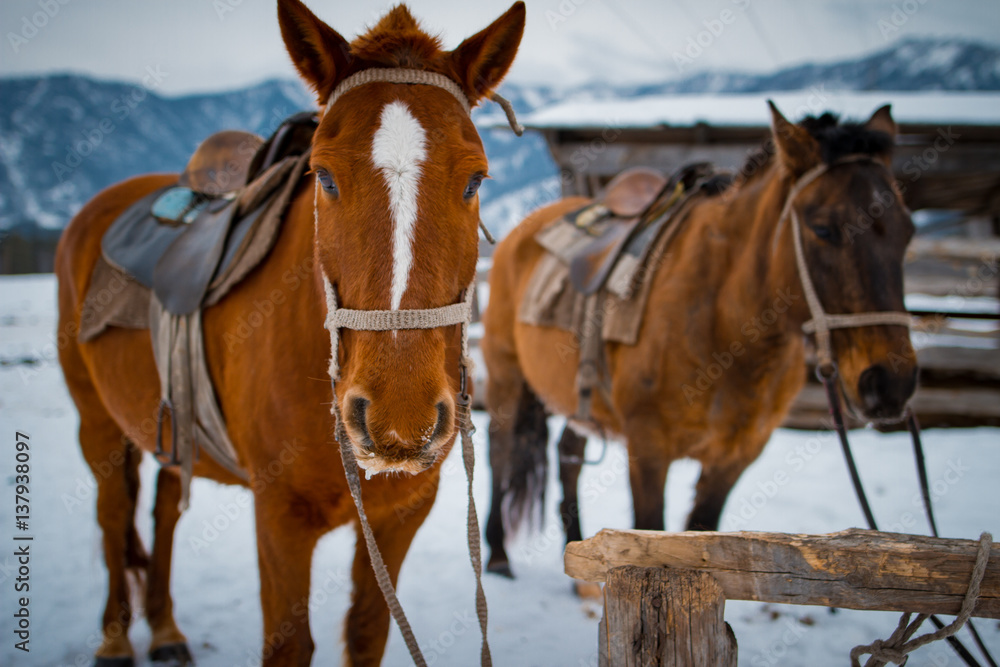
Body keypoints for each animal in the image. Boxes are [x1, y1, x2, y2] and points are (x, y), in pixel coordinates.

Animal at [55, 1, 525, 664]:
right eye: (323, 176)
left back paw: (167, 630)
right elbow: (289, 643)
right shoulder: (278, 519)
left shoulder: (401, 513)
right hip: (95, 420)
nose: (400, 420)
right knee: (112, 513)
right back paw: (117, 637)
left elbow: (367, 631)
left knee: (165, 506)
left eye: (476, 180)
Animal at [483, 102, 918, 579]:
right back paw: (498, 554)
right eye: (823, 229)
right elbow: (647, 531)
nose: (890, 383)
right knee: (500, 451)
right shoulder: (648, 449)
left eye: (908, 231)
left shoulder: (734, 458)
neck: (725, 330)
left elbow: (701, 531)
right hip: (505, 374)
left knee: (568, 456)